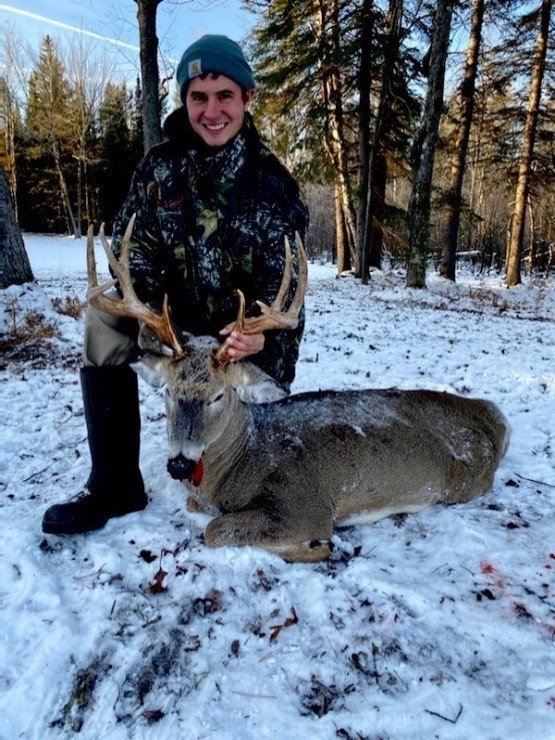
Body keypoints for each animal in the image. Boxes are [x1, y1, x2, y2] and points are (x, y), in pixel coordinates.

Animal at [86, 217, 511, 562]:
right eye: (170, 393)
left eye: (219, 396)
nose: (179, 464)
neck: (241, 461)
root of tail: (492, 416)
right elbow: (198, 510)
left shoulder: (306, 502)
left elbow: (215, 529)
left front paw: (319, 546)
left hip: (467, 479)